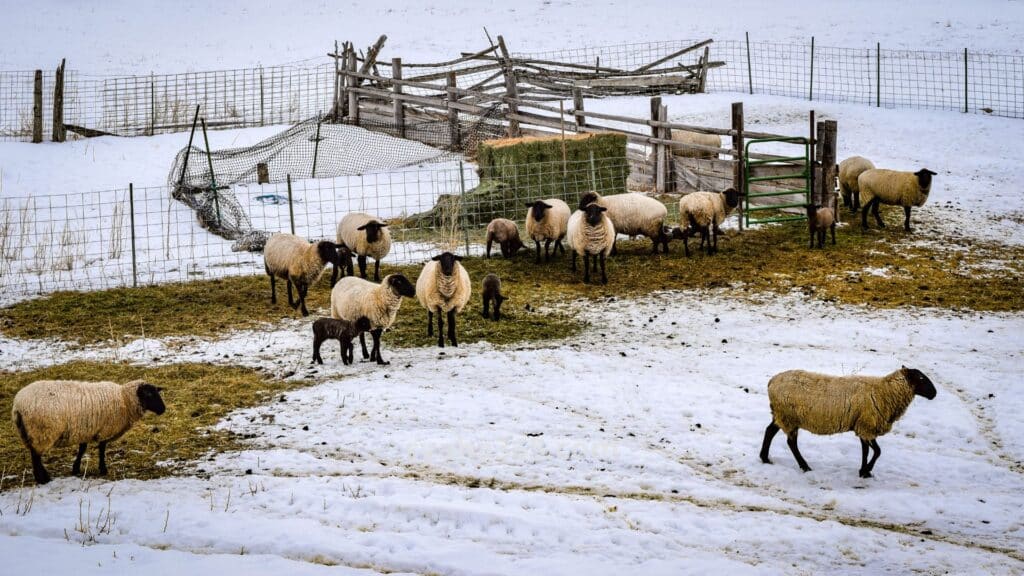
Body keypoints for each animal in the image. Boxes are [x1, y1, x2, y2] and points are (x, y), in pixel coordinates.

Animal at [10, 379, 165, 481]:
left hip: (30, 432)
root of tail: (18, 405)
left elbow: (82, 449)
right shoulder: (104, 429)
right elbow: (101, 448)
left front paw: (76, 468)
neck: (124, 399)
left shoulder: (85, 430)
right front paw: (103, 469)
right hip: (41, 431)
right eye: (149, 395)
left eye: (157, 393)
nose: (163, 409)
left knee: (34, 454)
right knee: (36, 456)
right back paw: (43, 478)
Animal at [761, 364, 937, 477]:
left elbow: (866, 451)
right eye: (921, 378)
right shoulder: (867, 425)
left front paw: (864, 470)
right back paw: (805, 466)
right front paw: (866, 471)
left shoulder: (862, 426)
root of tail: (772, 381)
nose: (934, 393)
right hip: (788, 416)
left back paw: (765, 458)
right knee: (791, 443)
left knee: (769, 431)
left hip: (781, 415)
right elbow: (877, 451)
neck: (884, 392)